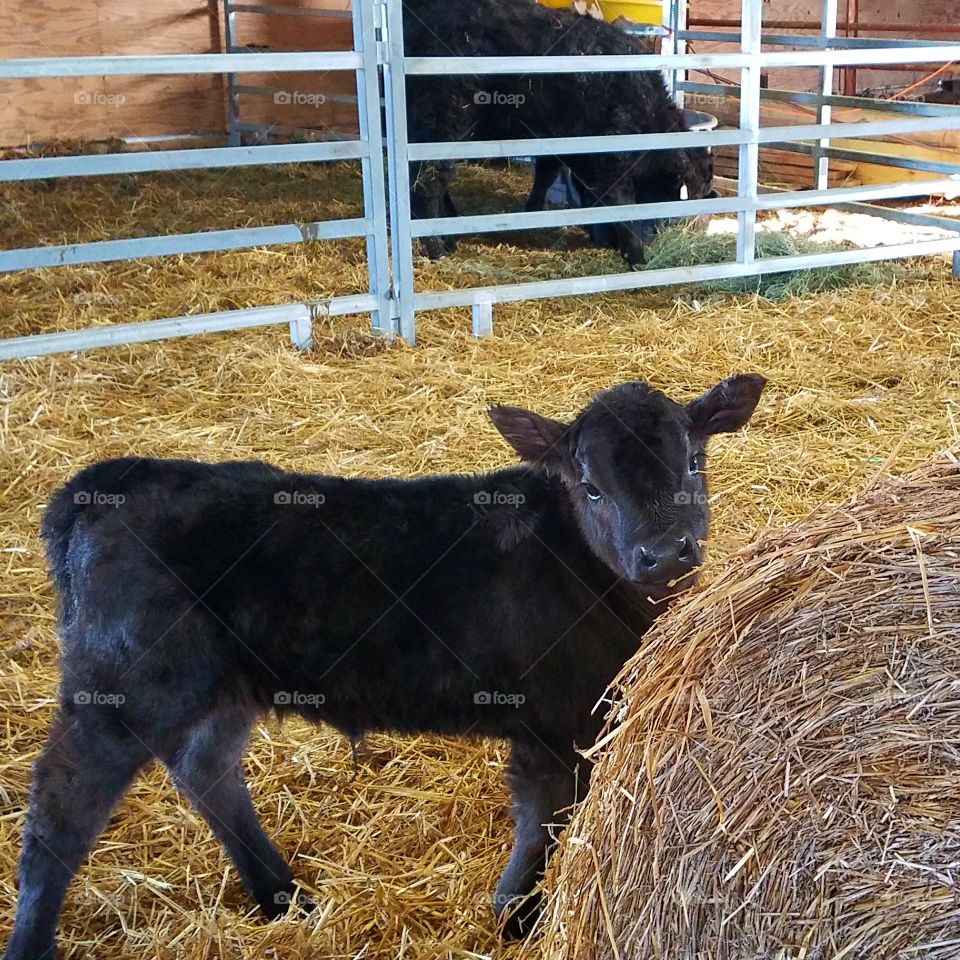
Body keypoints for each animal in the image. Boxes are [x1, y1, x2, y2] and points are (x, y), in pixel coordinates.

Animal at [2, 374, 765, 959]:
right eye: (591, 486)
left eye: (694, 463)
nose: (664, 552)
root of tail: (105, 481)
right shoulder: (556, 721)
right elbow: (544, 820)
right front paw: (515, 916)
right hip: (122, 685)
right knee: (60, 810)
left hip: (224, 685)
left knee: (205, 770)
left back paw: (283, 896)